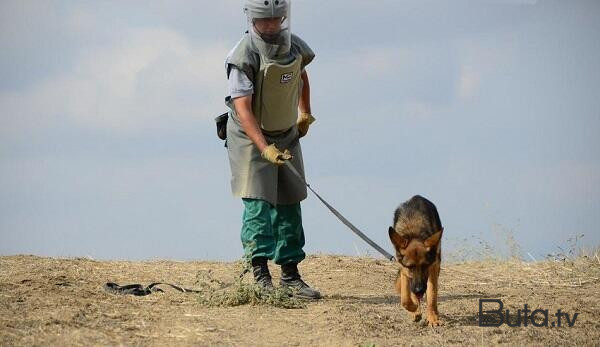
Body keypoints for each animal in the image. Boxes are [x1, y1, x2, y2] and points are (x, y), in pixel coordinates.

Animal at [386, 197, 442, 328]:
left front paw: (432, 318)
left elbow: (431, 294)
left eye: (425, 265)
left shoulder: (433, 267)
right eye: (410, 266)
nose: (419, 290)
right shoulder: (404, 270)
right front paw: (414, 309)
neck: (414, 232)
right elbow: (405, 298)